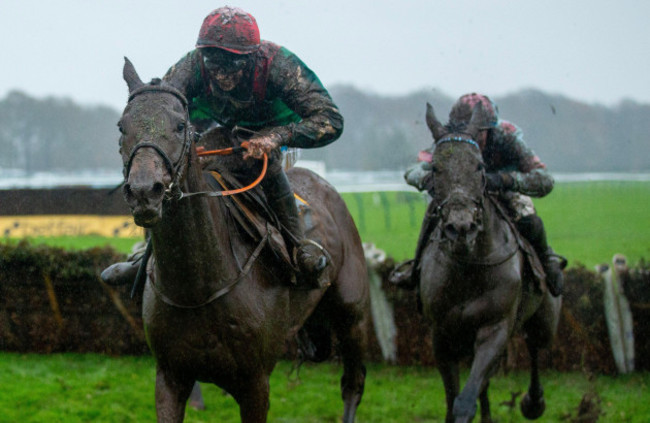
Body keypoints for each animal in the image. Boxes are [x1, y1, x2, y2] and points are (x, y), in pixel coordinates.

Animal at [118, 58, 368, 423]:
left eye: (180, 125)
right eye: (122, 127)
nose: (143, 191)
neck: (197, 287)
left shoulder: (255, 384)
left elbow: (326, 116)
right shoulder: (170, 377)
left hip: (352, 312)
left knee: (353, 383)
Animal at [418, 103, 560, 423]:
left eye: (480, 167)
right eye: (435, 168)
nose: (461, 228)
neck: (468, 268)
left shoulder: (495, 329)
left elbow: (465, 401)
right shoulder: (441, 335)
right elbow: (454, 399)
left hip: (544, 320)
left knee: (535, 348)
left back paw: (533, 402)